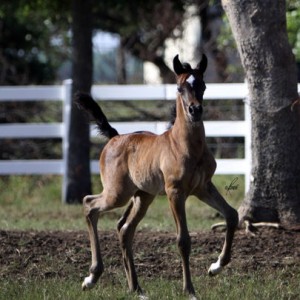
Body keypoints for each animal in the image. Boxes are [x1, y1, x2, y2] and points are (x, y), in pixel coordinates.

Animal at [76, 54, 238, 300]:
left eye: (202, 85)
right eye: (180, 87)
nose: (195, 110)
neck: (184, 145)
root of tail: (114, 137)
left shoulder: (203, 188)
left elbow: (231, 215)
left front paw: (216, 266)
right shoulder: (175, 192)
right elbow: (183, 240)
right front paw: (189, 290)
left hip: (143, 196)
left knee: (125, 229)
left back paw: (136, 288)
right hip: (118, 194)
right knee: (89, 204)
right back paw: (91, 278)